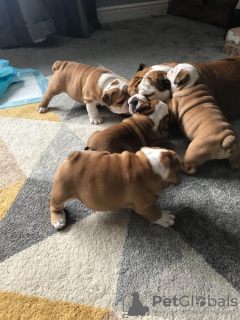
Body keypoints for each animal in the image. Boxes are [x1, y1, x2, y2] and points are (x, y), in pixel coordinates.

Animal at [50, 146, 180, 231]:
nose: (176, 154)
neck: (148, 164)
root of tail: (72, 157)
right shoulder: (145, 206)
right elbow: (155, 213)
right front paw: (165, 218)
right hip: (62, 189)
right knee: (55, 205)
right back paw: (58, 219)